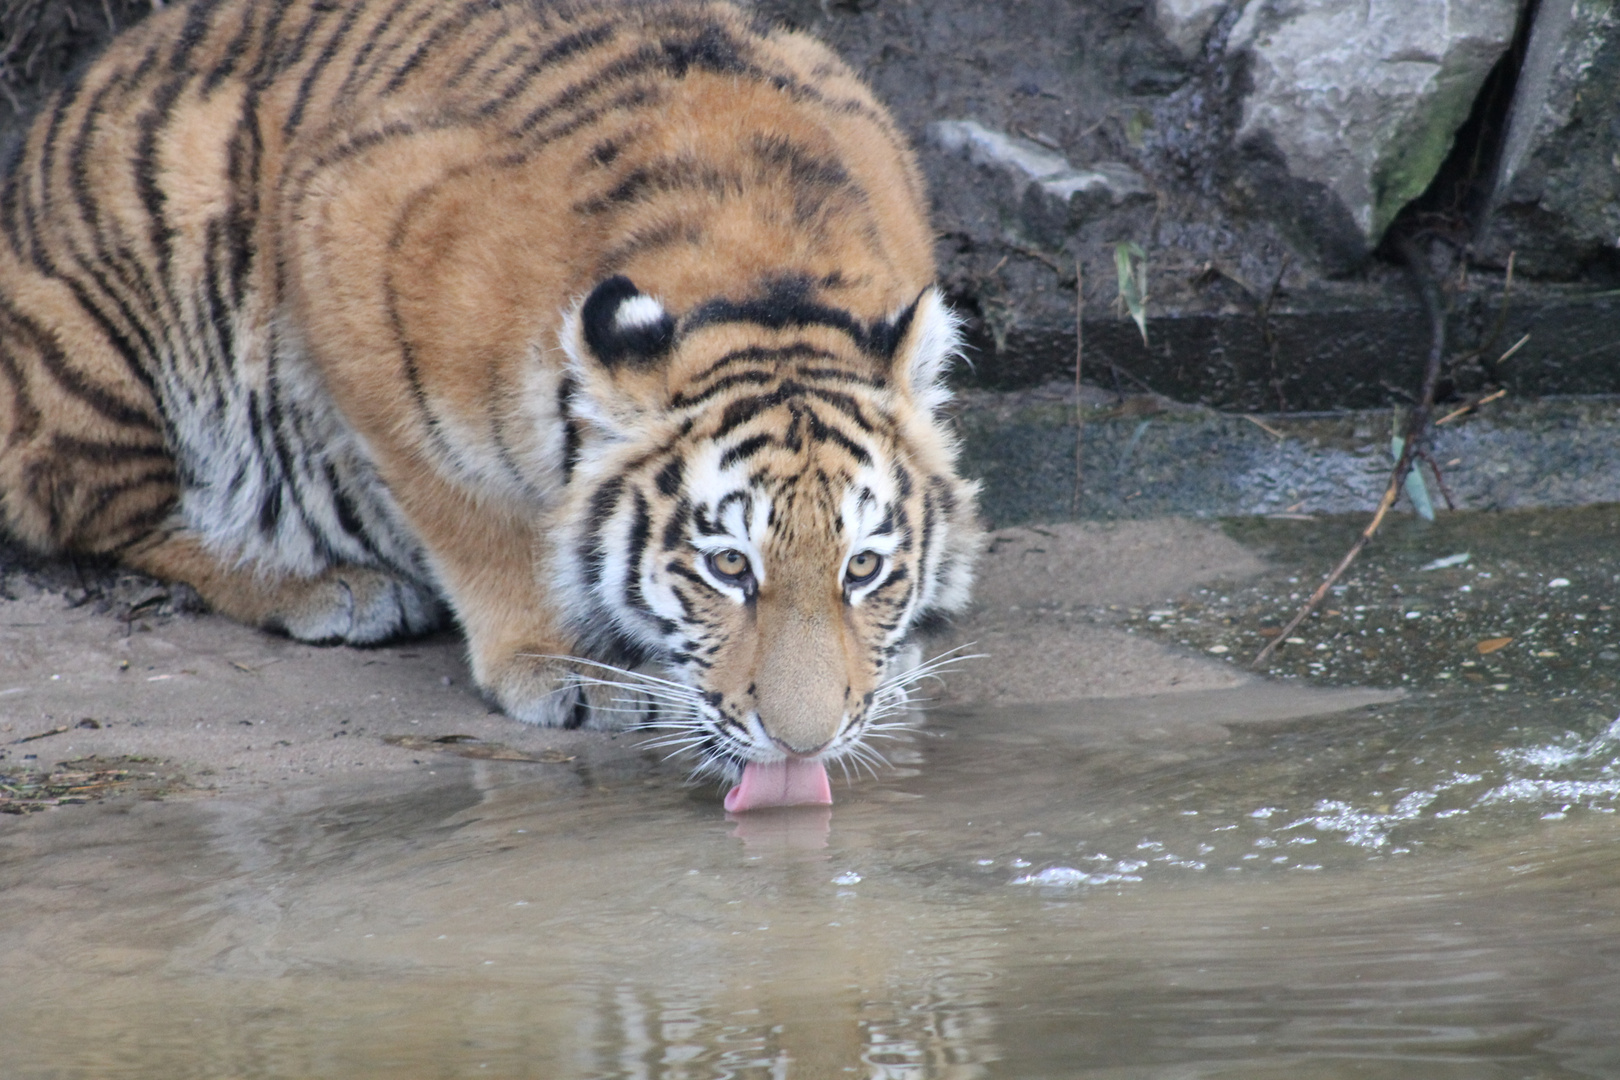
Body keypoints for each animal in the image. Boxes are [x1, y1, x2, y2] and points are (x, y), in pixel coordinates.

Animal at [0, 0, 972, 809]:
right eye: (728, 567)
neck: (764, 278)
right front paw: (554, 662)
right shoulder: (345, 236)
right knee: (102, 514)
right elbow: (473, 515)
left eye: (864, 569)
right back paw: (326, 583)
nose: (804, 742)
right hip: (122, 331)